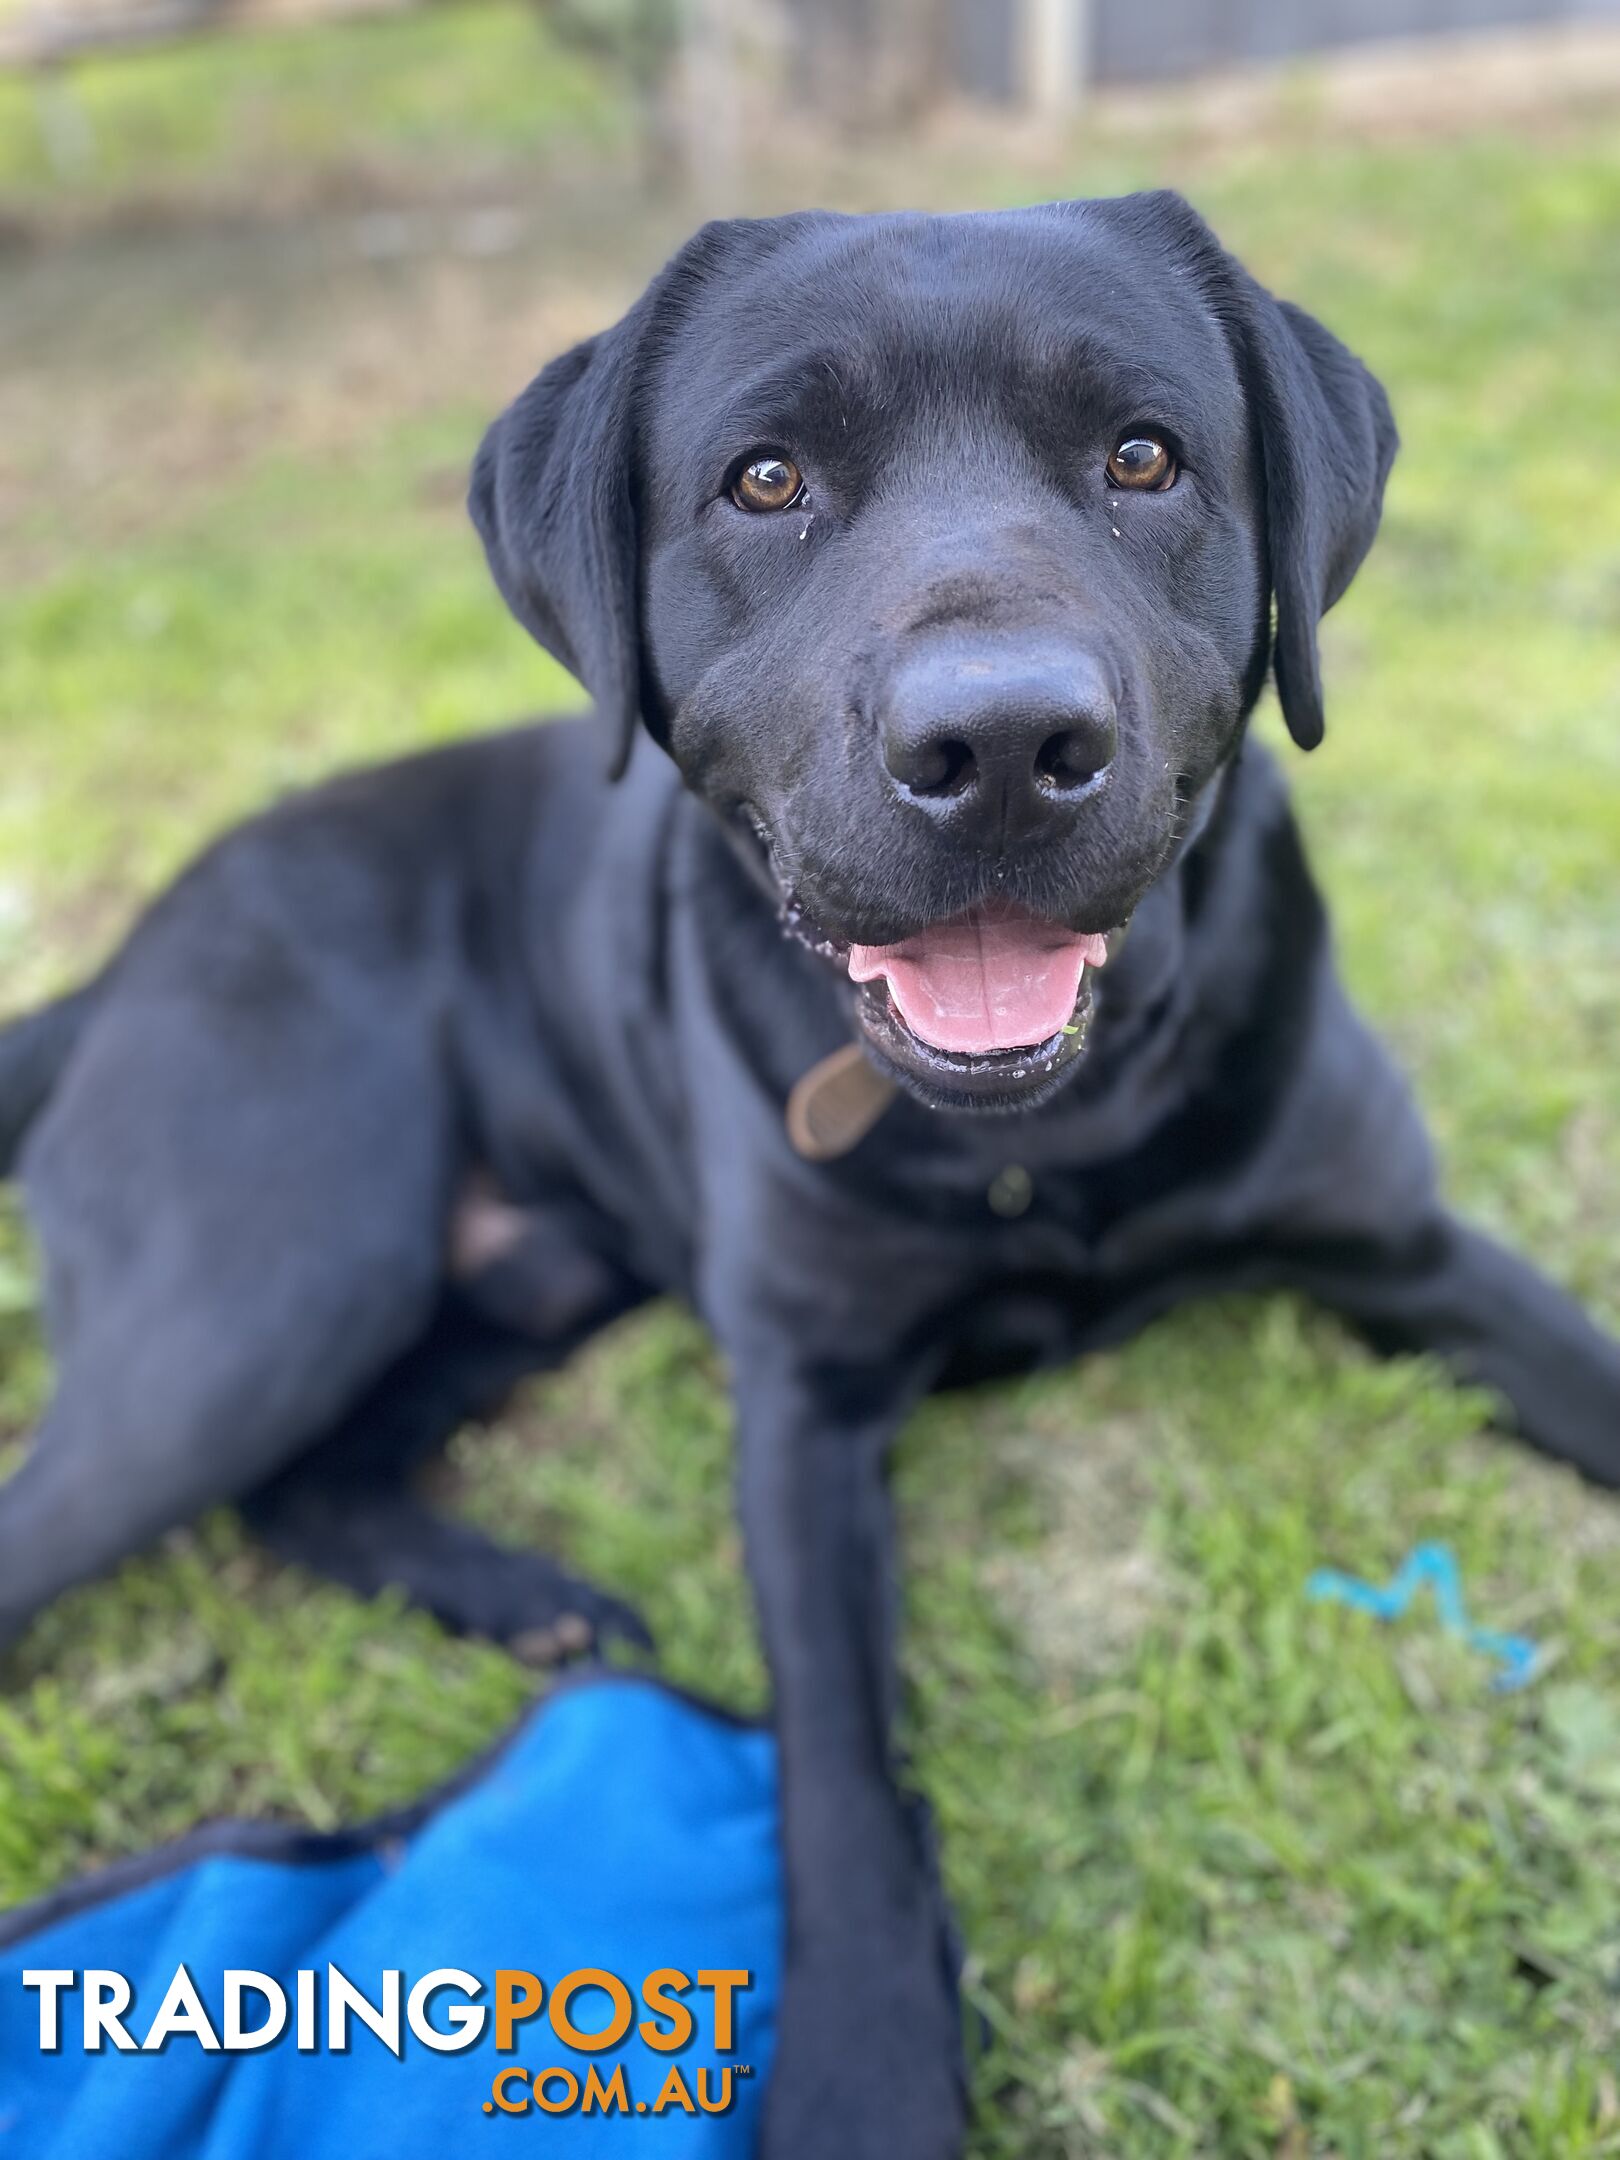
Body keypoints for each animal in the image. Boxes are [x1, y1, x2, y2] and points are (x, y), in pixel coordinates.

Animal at [3, 194, 1620, 2151]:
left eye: (1144, 458)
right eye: (766, 480)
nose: (998, 746)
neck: (1043, 1138)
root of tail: (114, 969)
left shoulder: (1414, 1246)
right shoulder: (802, 1409)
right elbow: (840, 1775)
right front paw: (863, 2068)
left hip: (517, 1278)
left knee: (311, 1485)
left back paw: (531, 1605)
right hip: (269, 1286)